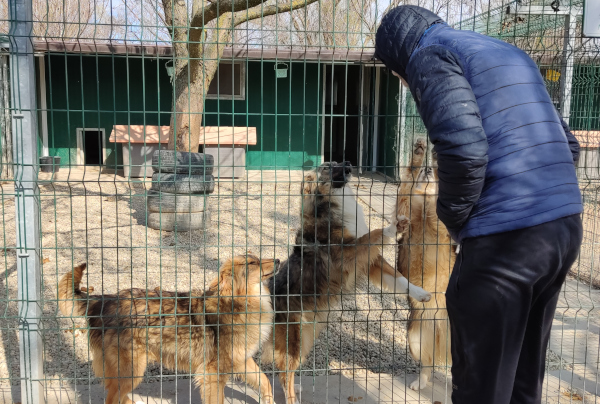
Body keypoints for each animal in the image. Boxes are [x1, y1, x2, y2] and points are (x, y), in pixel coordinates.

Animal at [57, 256, 278, 404]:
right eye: (252, 263)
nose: (277, 260)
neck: (238, 302)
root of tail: (104, 300)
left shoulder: (241, 360)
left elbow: (265, 381)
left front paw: (270, 400)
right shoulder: (213, 373)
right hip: (131, 371)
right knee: (112, 399)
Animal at [262, 161, 432, 404]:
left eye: (336, 162)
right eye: (327, 167)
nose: (349, 164)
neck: (336, 200)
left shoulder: (370, 262)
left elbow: (399, 279)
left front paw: (420, 293)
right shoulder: (349, 253)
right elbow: (374, 234)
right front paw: (392, 228)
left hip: (305, 337)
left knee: (285, 370)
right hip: (294, 338)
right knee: (284, 371)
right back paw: (292, 397)